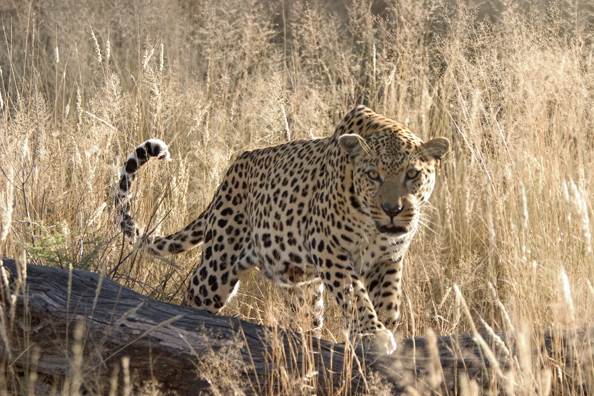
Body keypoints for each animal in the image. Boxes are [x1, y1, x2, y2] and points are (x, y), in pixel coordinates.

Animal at [117, 104, 448, 352]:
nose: (393, 210)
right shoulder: (329, 247)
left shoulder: (389, 258)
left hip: (301, 284)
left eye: (412, 174)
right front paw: (373, 334)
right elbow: (355, 293)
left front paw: (384, 332)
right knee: (195, 294)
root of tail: (230, 173)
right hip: (217, 268)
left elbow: (388, 301)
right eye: (373, 175)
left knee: (305, 320)